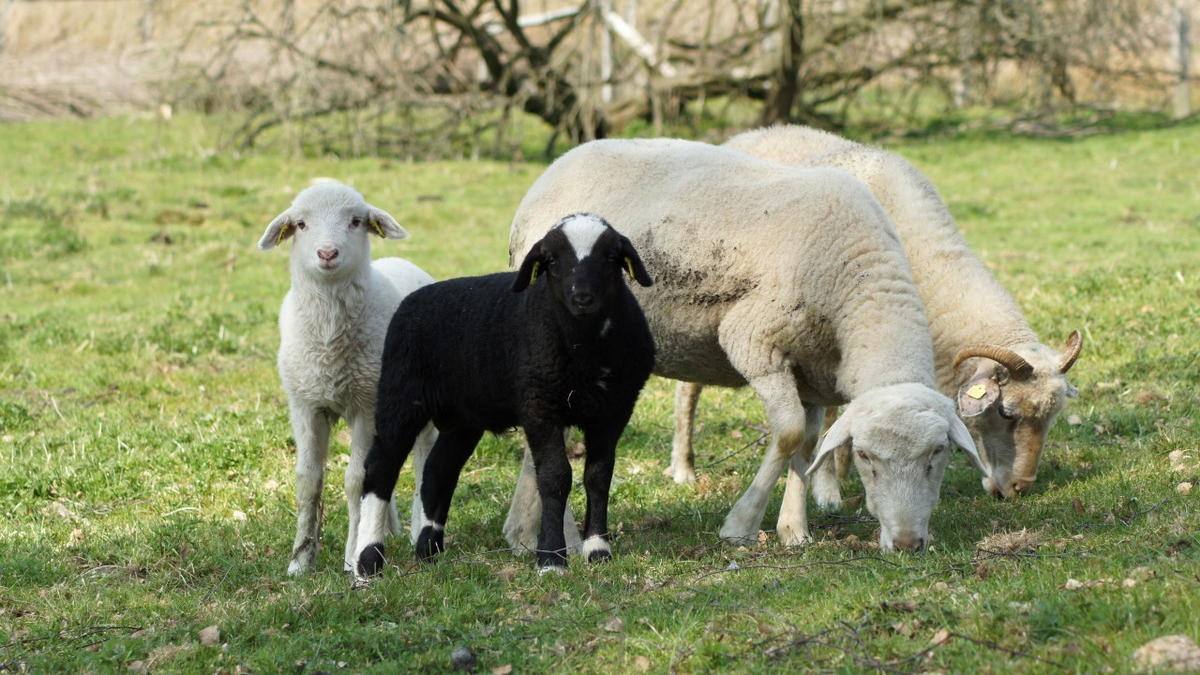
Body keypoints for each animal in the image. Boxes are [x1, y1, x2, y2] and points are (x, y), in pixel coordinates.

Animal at [258, 181, 436, 575]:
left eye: (356, 221)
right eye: (301, 224)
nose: (327, 253)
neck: (328, 342)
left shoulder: (365, 406)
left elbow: (356, 480)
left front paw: (354, 556)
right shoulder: (305, 405)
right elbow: (308, 480)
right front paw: (300, 559)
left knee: (422, 455)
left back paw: (416, 529)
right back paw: (387, 525)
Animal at [353, 213, 655, 576]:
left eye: (611, 258)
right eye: (552, 261)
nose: (582, 298)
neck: (585, 348)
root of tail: (413, 298)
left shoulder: (615, 410)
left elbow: (598, 477)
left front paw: (598, 550)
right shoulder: (539, 406)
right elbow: (554, 478)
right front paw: (551, 558)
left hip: (464, 416)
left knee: (438, 471)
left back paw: (429, 550)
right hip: (400, 396)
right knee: (380, 468)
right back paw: (368, 560)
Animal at [505, 138, 987, 552]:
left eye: (938, 453)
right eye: (866, 456)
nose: (908, 544)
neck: (858, 275)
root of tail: (553, 170)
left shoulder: (814, 371)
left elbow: (808, 445)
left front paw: (794, 529)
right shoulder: (754, 343)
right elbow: (789, 432)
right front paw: (742, 523)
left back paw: (521, 534)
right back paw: (562, 537)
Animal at [673, 125, 1079, 501]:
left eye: (1053, 418)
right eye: (1007, 412)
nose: (1018, 489)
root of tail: (752, 133)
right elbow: (833, 413)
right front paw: (829, 488)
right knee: (688, 389)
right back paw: (683, 468)